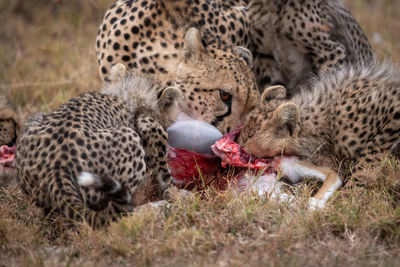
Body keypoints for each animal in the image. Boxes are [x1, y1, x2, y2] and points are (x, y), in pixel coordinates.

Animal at [16, 64, 183, 228]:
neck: (129, 91)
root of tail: (56, 169)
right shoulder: (148, 124)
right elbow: (164, 171)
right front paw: (175, 195)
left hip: (35, 119)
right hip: (130, 139)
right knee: (116, 213)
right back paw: (149, 211)